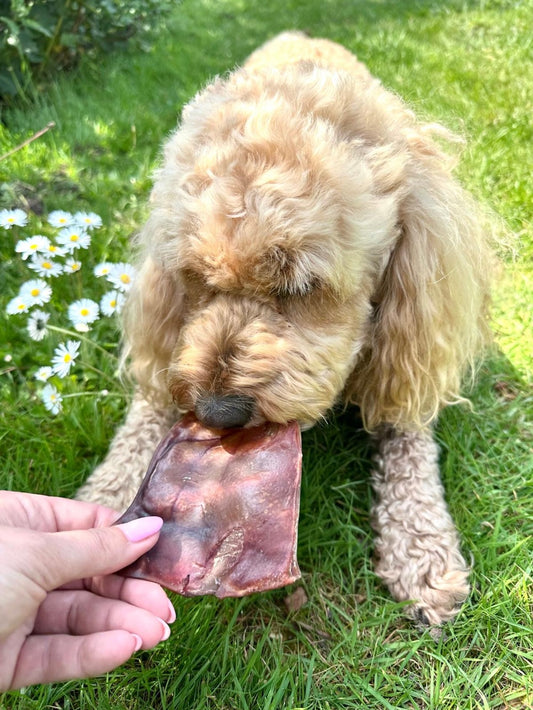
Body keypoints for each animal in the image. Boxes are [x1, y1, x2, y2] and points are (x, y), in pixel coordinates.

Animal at [77, 33, 492, 624]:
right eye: (194, 278)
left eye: (301, 286)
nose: (217, 412)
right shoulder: (169, 350)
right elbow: (142, 418)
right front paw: (103, 496)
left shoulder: (407, 358)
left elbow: (411, 454)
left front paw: (424, 550)